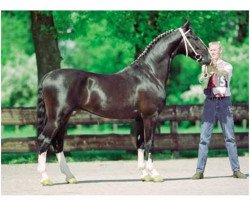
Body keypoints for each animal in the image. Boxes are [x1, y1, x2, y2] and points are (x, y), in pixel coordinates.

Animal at [36, 21, 210, 185]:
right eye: (193, 37)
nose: (208, 58)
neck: (149, 73)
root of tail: (48, 76)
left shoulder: (139, 118)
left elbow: (140, 143)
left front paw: (144, 175)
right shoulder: (150, 116)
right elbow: (149, 143)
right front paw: (154, 174)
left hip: (64, 118)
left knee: (58, 143)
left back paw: (70, 177)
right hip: (57, 118)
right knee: (45, 140)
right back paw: (45, 178)